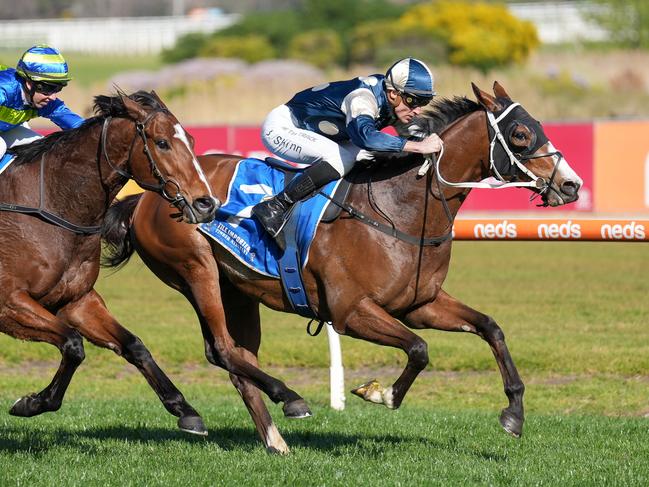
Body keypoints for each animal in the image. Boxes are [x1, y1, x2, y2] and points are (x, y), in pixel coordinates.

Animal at [0, 90, 218, 434]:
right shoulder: (9, 302)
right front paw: (32, 402)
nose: (206, 203)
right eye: (162, 143)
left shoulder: (76, 301)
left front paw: (185, 409)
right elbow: (73, 345)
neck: (50, 207)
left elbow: (133, 345)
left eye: (193, 140)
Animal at [102, 84, 584, 454]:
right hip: (197, 271)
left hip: (236, 290)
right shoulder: (350, 312)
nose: (571, 184)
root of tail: (144, 197)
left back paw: (276, 440)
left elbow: (490, 328)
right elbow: (419, 349)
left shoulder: (420, 304)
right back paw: (289, 401)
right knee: (222, 350)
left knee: (238, 359)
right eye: (520, 134)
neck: (401, 208)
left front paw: (514, 413)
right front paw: (380, 392)